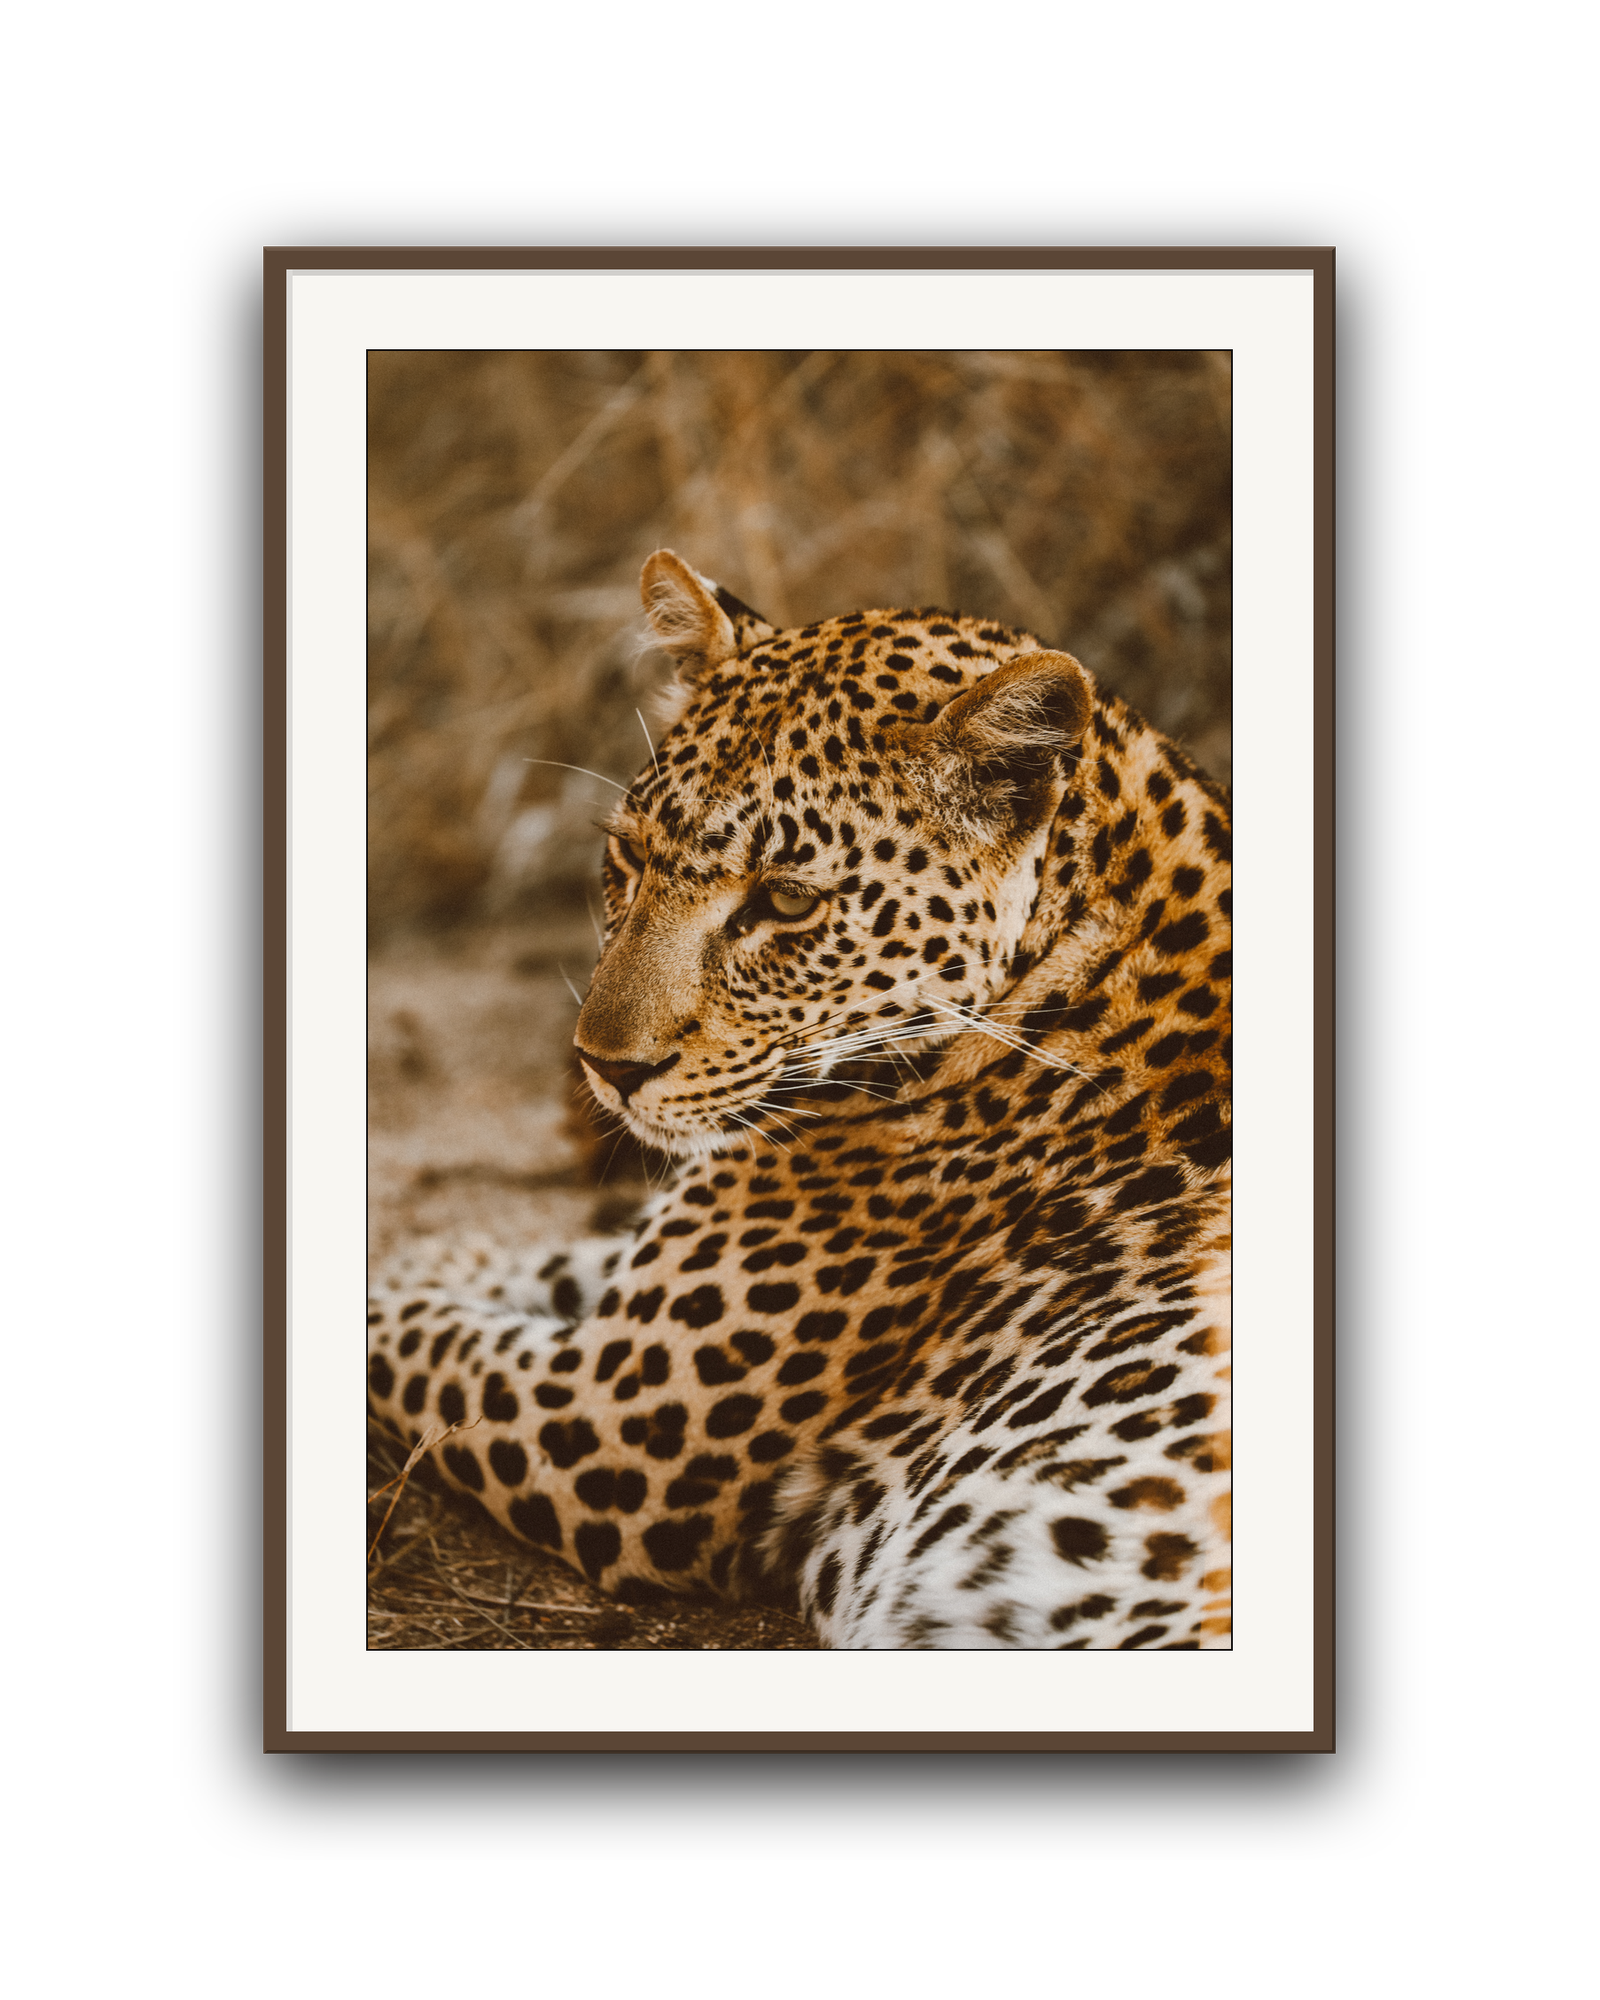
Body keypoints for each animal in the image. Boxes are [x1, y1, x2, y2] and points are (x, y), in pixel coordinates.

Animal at [368, 549, 1232, 1650]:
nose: (604, 1065)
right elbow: (555, 1260)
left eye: (783, 901)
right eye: (631, 857)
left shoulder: (603, 1419)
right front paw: (447, 1255)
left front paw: (407, 1274)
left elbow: (409, 1338)